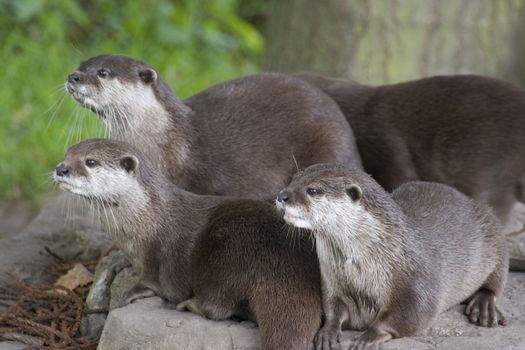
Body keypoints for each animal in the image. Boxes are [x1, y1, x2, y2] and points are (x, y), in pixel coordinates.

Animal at [54, 139, 324, 350]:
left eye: (90, 162)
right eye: (67, 154)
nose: (61, 168)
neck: (144, 219)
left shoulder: (154, 253)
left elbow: (151, 280)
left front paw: (131, 293)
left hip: (224, 253)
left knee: (217, 306)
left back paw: (187, 305)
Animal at [278, 164, 508, 350]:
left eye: (313, 190)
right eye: (293, 179)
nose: (282, 195)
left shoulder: (418, 281)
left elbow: (412, 316)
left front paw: (369, 336)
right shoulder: (332, 281)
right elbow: (332, 307)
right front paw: (328, 331)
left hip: (493, 231)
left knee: (496, 278)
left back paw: (484, 306)